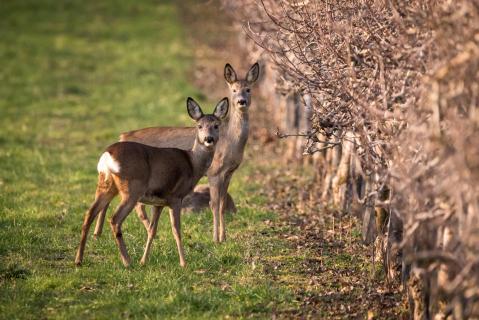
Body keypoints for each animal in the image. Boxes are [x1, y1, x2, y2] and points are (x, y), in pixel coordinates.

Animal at [76, 97, 230, 268]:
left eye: (216, 125)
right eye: (199, 126)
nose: (208, 139)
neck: (193, 164)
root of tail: (107, 156)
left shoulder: (159, 202)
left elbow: (152, 230)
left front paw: (144, 261)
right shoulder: (175, 197)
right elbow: (176, 230)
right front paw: (183, 263)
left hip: (106, 185)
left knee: (89, 214)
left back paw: (79, 260)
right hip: (131, 188)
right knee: (115, 219)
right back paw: (127, 261)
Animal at [95, 62, 260, 242]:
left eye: (248, 89)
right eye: (234, 90)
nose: (242, 101)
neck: (230, 141)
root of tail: (122, 136)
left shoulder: (229, 173)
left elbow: (223, 204)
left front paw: (224, 238)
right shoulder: (214, 172)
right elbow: (214, 204)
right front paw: (216, 239)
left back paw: (97, 233)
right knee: (136, 204)